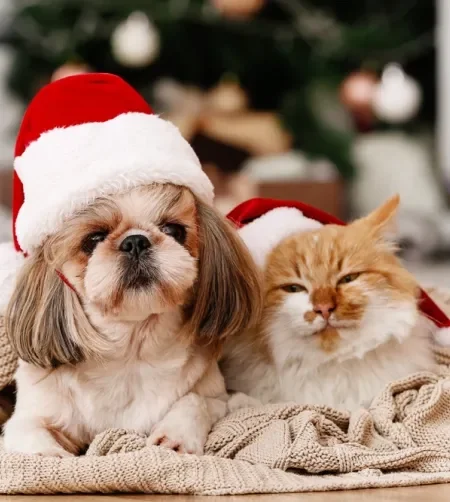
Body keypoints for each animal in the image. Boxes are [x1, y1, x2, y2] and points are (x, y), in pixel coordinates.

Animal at [2, 183, 260, 454]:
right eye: (93, 239)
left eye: (174, 230)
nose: (135, 241)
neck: (131, 352)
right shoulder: (32, 416)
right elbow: (32, 436)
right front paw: (50, 454)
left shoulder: (217, 397)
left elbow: (196, 401)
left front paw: (176, 436)